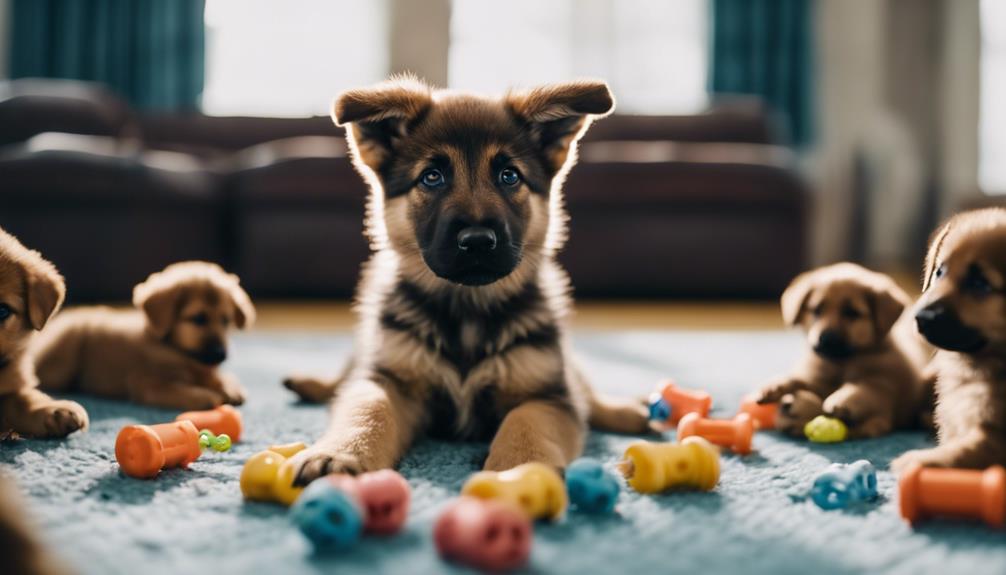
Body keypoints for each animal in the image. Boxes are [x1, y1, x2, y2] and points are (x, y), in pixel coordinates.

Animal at [33, 261, 257, 408]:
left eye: (226, 320)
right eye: (199, 319)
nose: (221, 355)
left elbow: (218, 376)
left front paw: (229, 387)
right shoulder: (148, 384)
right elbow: (182, 390)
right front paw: (207, 396)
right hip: (65, 356)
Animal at [279, 76, 647, 480]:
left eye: (509, 176)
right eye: (432, 177)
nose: (477, 241)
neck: (468, 309)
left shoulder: (547, 394)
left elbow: (526, 423)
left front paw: (514, 472)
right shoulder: (389, 379)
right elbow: (367, 409)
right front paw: (339, 453)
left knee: (587, 391)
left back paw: (628, 411)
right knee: (345, 375)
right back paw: (312, 384)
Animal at [752, 263, 929, 438]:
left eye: (852, 313)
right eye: (816, 310)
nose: (826, 339)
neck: (842, 363)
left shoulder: (885, 388)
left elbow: (867, 387)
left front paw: (844, 400)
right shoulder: (818, 379)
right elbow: (801, 379)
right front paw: (775, 386)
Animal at [893, 208, 1006, 472]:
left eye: (980, 284)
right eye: (940, 272)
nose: (919, 317)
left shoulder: (994, 441)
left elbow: (962, 453)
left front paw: (917, 462)